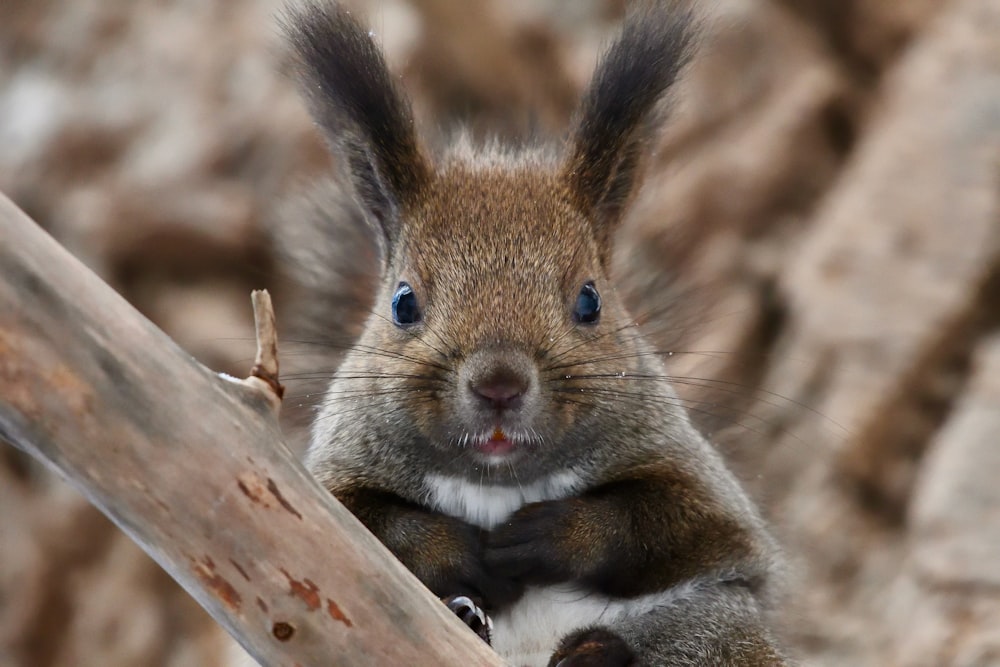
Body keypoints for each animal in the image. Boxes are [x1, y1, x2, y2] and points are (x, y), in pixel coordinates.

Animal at [278, 2, 784, 664]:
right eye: (403, 303)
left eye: (590, 301)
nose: (499, 384)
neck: (500, 482)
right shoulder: (324, 488)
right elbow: (374, 525)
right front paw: (460, 551)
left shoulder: (705, 493)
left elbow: (667, 522)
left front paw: (550, 536)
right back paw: (470, 619)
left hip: (714, 628)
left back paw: (593, 652)